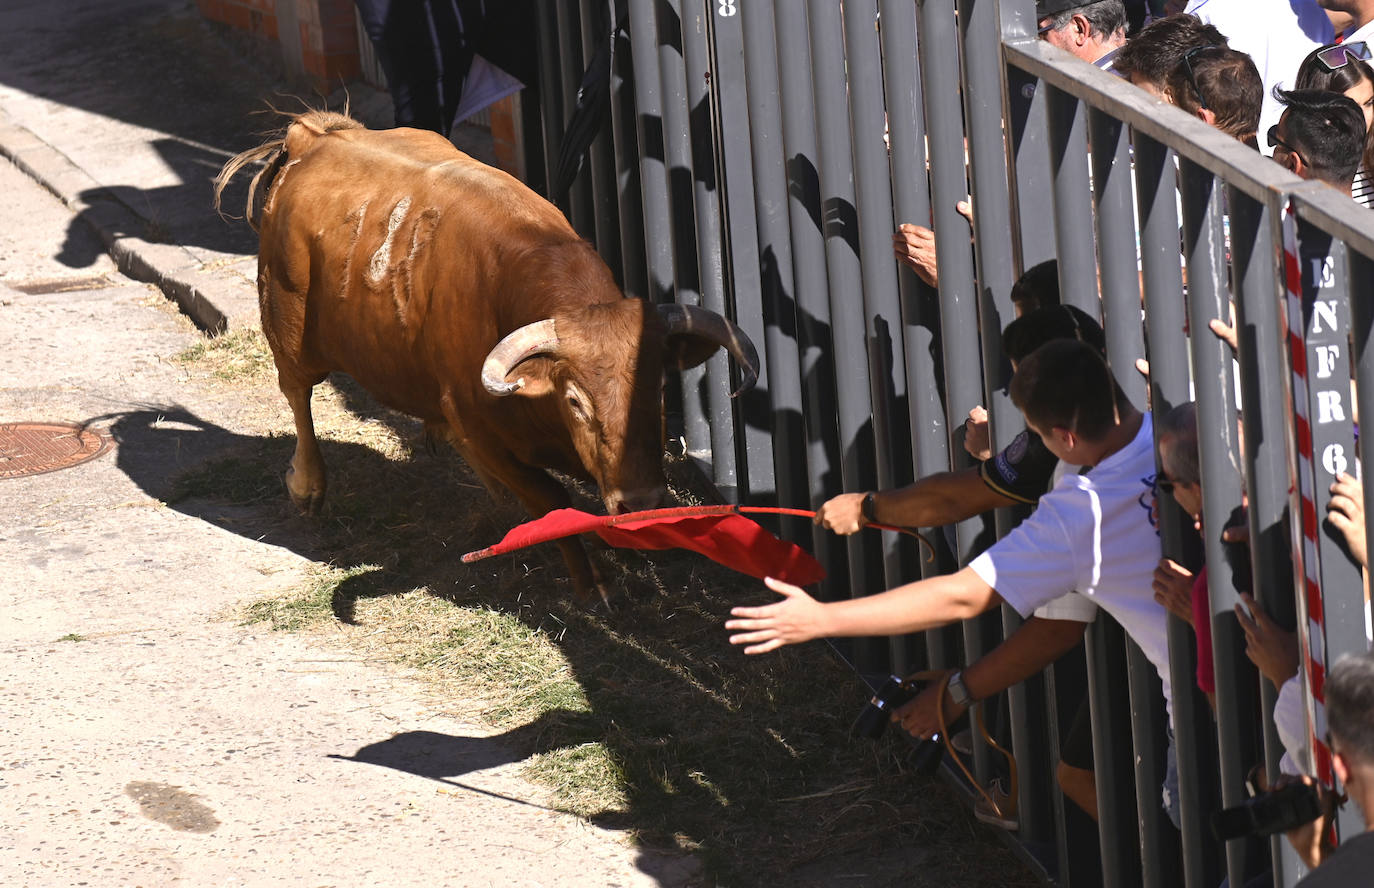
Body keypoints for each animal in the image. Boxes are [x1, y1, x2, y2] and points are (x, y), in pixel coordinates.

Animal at [215, 109, 758, 599]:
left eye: (660, 389)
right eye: (575, 400)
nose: (643, 502)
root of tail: (311, 137)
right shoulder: (480, 429)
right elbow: (552, 501)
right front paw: (595, 584)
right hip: (287, 326)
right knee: (298, 394)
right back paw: (309, 486)